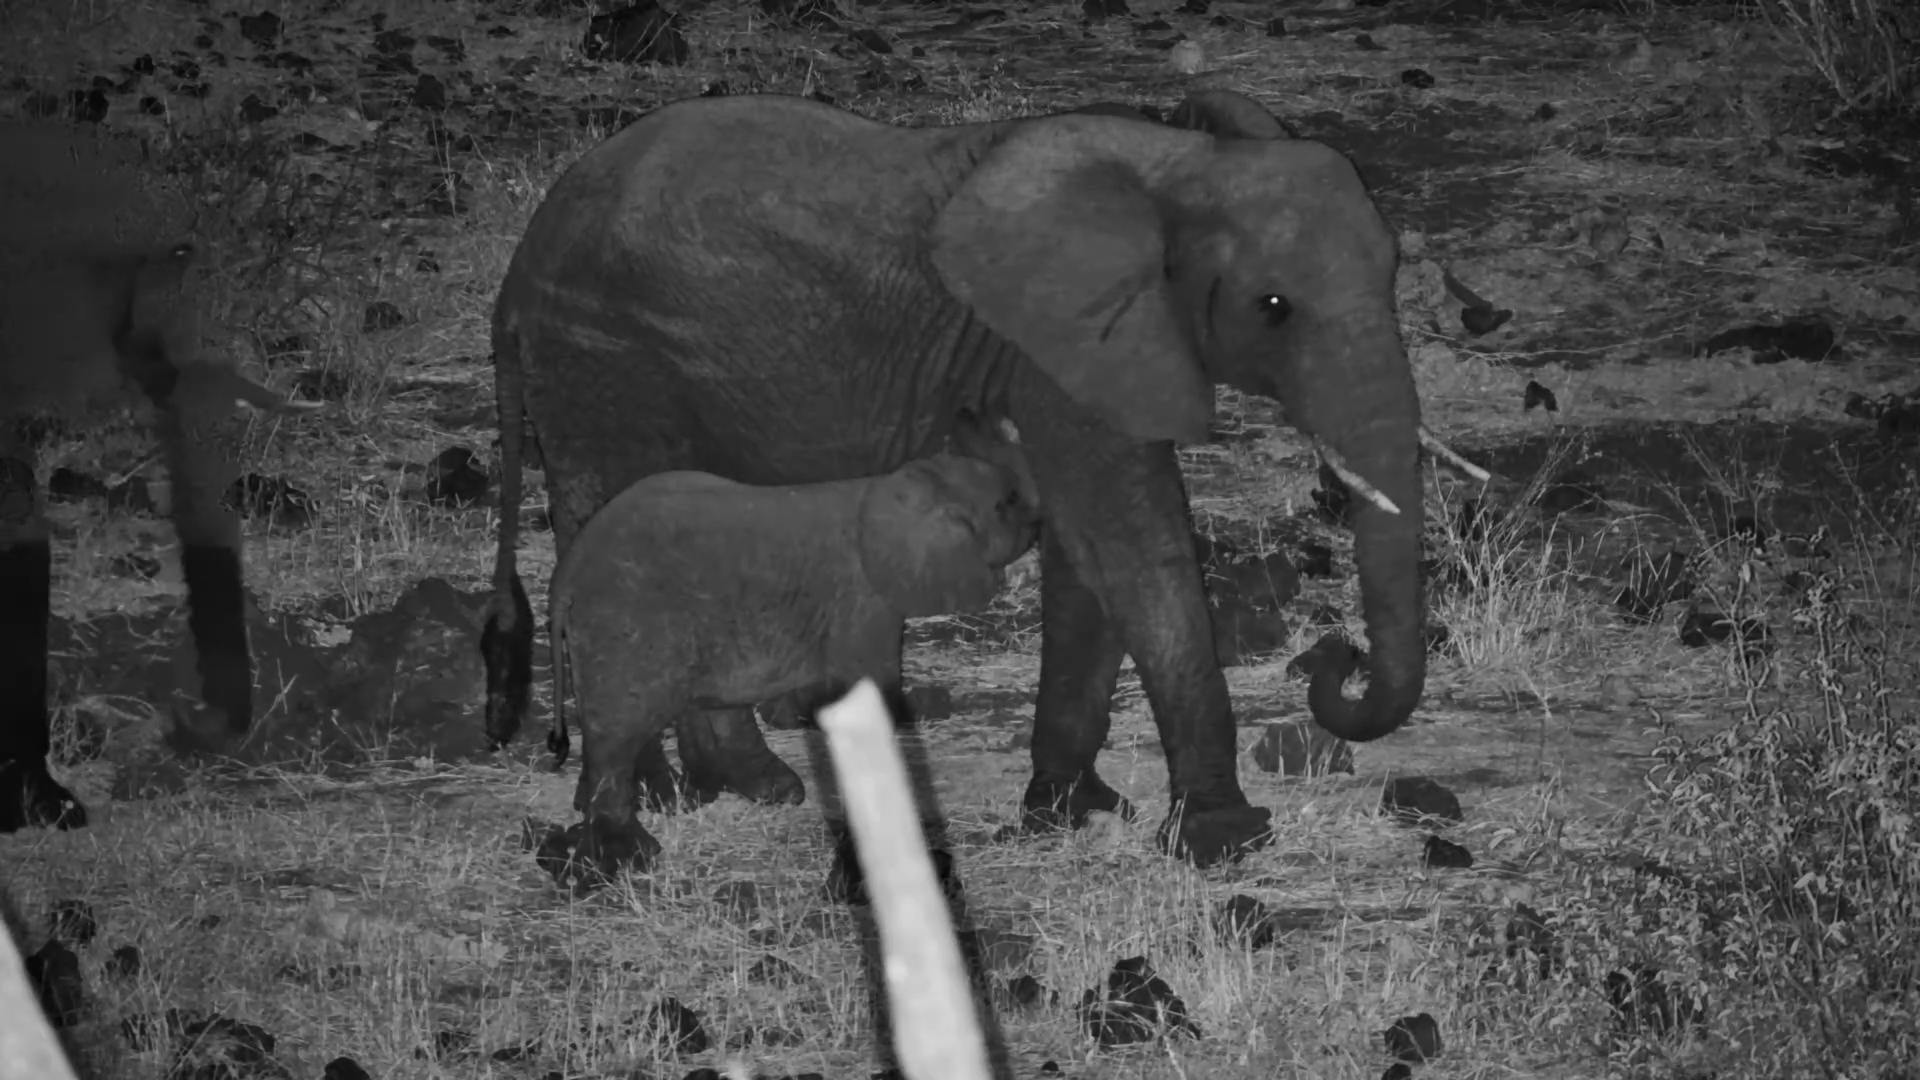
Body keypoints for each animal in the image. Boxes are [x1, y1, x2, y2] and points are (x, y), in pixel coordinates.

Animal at [547, 413, 1039, 875]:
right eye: (1006, 503)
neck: (891, 486)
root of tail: (564, 575)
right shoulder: (864, 599)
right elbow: (874, 686)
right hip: (625, 625)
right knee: (619, 733)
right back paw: (630, 854)